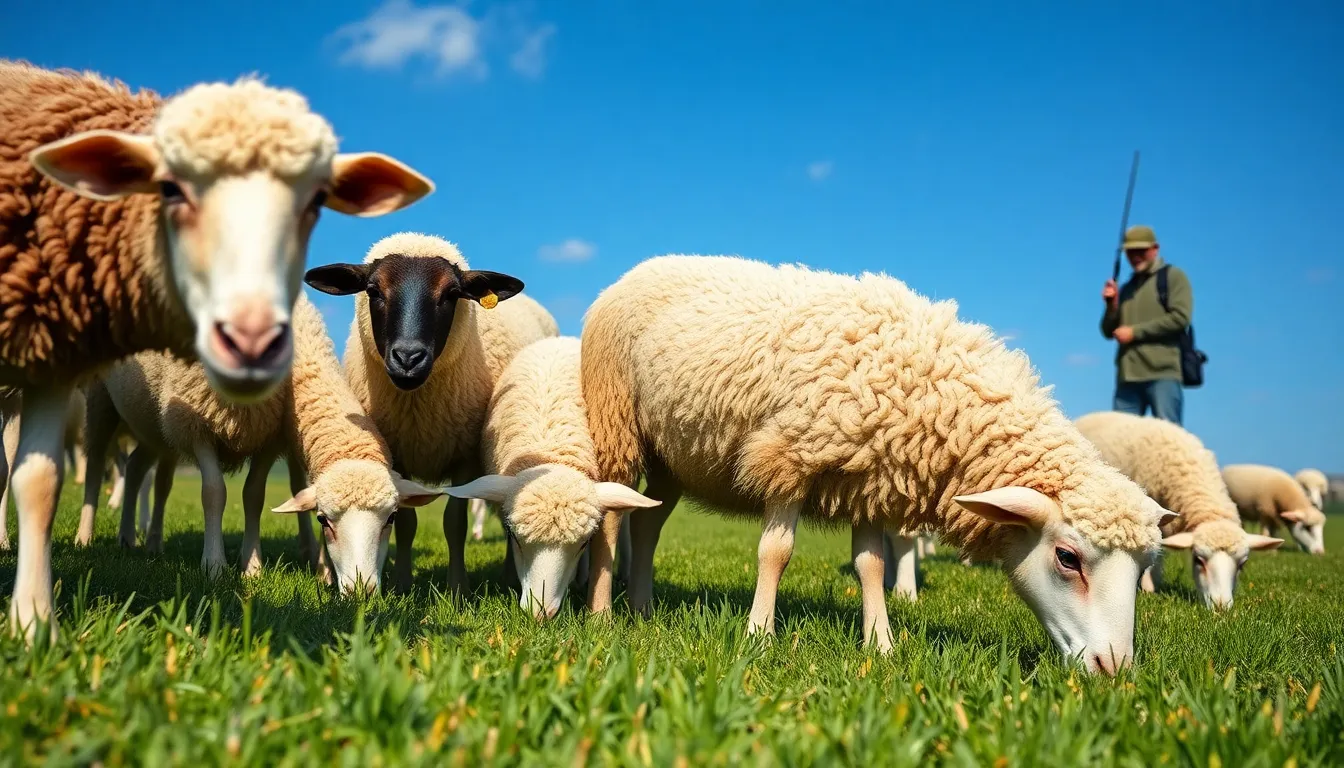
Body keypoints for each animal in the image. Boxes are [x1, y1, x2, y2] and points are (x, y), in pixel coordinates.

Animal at [1, 60, 435, 639]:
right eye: (327, 521)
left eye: (389, 520)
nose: (363, 594)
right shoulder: (201, 424)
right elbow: (214, 495)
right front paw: (214, 566)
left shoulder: (268, 436)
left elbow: (253, 496)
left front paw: (256, 565)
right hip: (99, 405)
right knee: (95, 468)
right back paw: (90, 535)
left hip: (153, 426)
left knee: (141, 471)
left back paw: (142, 541)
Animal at [303, 232, 559, 597]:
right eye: (373, 290)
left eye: (452, 294)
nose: (408, 358)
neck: (419, 410)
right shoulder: (398, 453)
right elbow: (406, 522)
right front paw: (402, 583)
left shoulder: (464, 457)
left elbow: (454, 523)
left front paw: (457, 588)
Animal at [580, 254, 1172, 675]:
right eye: (1068, 558)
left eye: (1145, 565)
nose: (1114, 669)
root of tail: (640, 268)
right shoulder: (791, 455)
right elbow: (776, 552)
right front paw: (759, 636)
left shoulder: (868, 476)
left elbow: (871, 565)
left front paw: (881, 645)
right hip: (618, 424)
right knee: (613, 517)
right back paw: (602, 612)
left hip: (669, 457)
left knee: (648, 523)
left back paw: (642, 608)